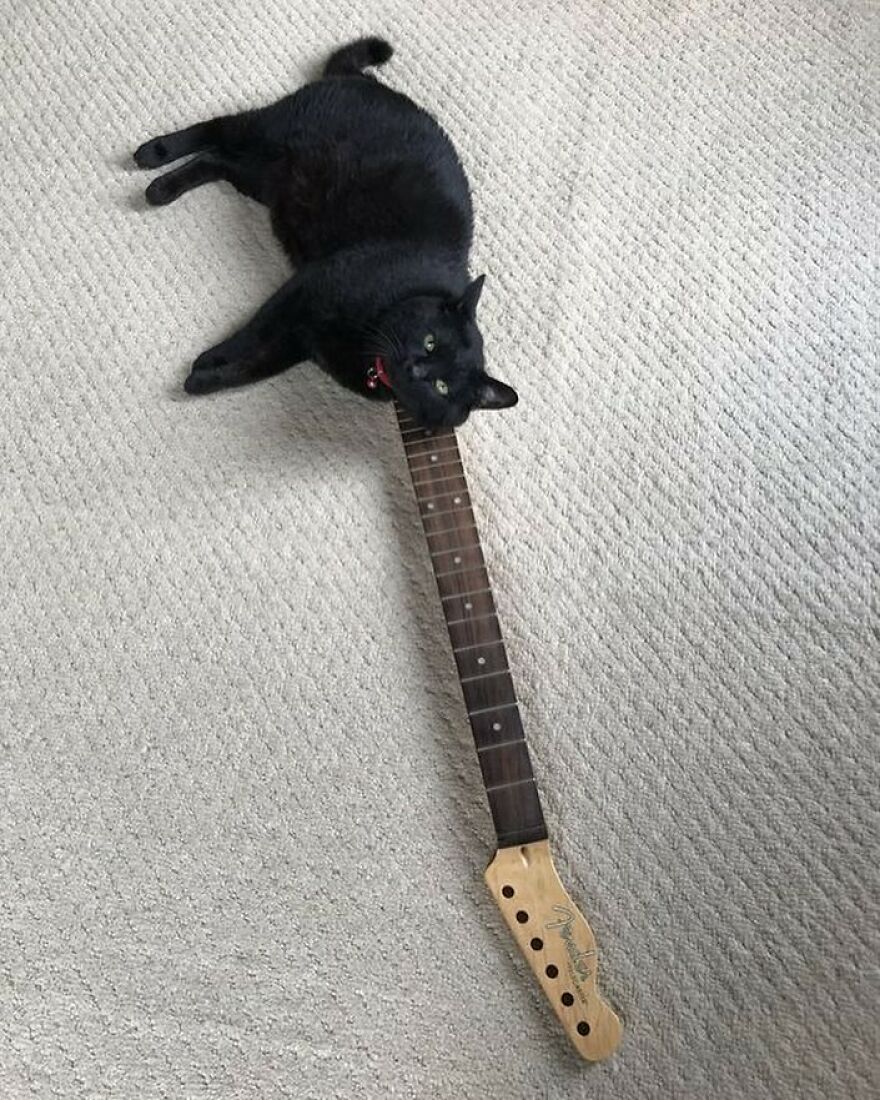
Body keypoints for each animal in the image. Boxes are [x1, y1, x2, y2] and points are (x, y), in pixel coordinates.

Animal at [134, 38, 519, 426]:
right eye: (430, 341)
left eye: (442, 387)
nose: (414, 369)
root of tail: (362, 80)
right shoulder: (304, 290)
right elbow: (250, 335)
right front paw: (210, 360)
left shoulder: (300, 338)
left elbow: (255, 367)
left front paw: (202, 380)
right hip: (270, 132)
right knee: (218, 128)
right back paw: (154, 156)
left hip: (268, 177)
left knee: (217, 160)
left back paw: (162, 189)